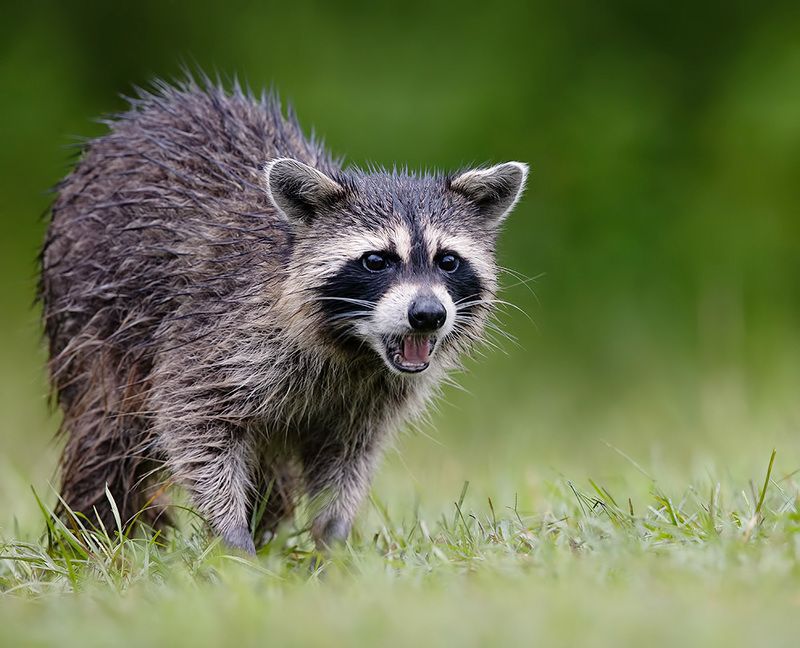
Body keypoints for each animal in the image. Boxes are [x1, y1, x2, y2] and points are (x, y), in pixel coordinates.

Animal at [40, 78, 528, 554]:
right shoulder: (217, 332)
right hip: (95, 316)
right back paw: (92, 531)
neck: (355, 347)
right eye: (376, 261)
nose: (427, 314)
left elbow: (348, 458)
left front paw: (333, 539)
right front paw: (232, 536)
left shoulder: (369, 398)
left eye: (448, 261)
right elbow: (193, 421)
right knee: (109, 433)